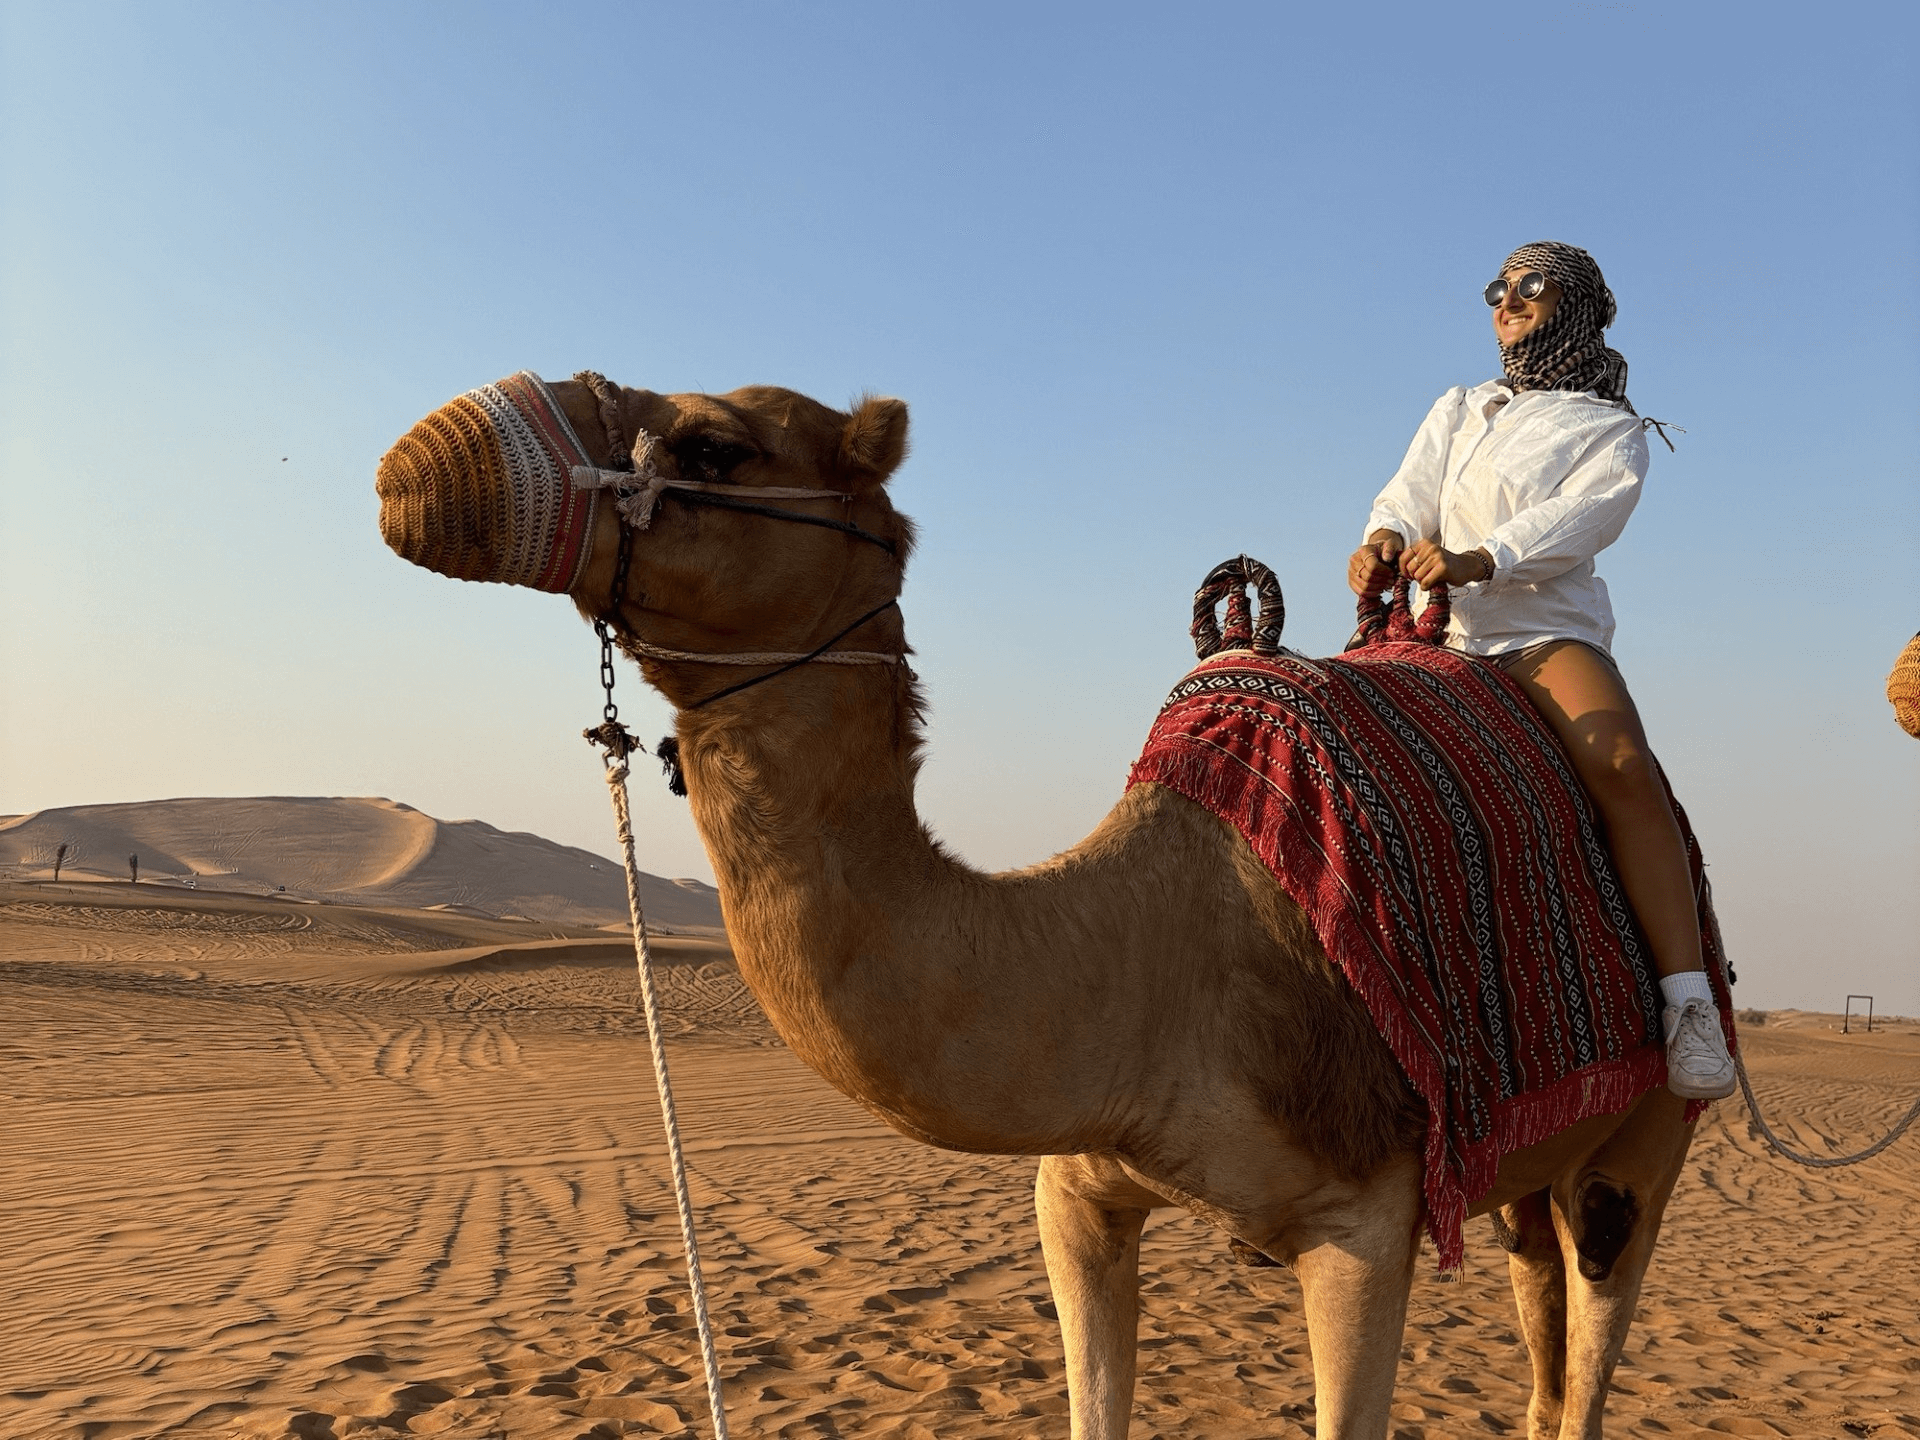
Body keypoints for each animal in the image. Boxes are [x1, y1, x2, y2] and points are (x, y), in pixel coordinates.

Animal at [382, 374, 1704, 1440]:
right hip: (1529, 1168)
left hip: (1640, 1143)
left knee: (1596, 1302)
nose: (423, 461)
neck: (1145, 962)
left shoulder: (1365, 1222)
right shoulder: (1077, 1193)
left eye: (714, 445)